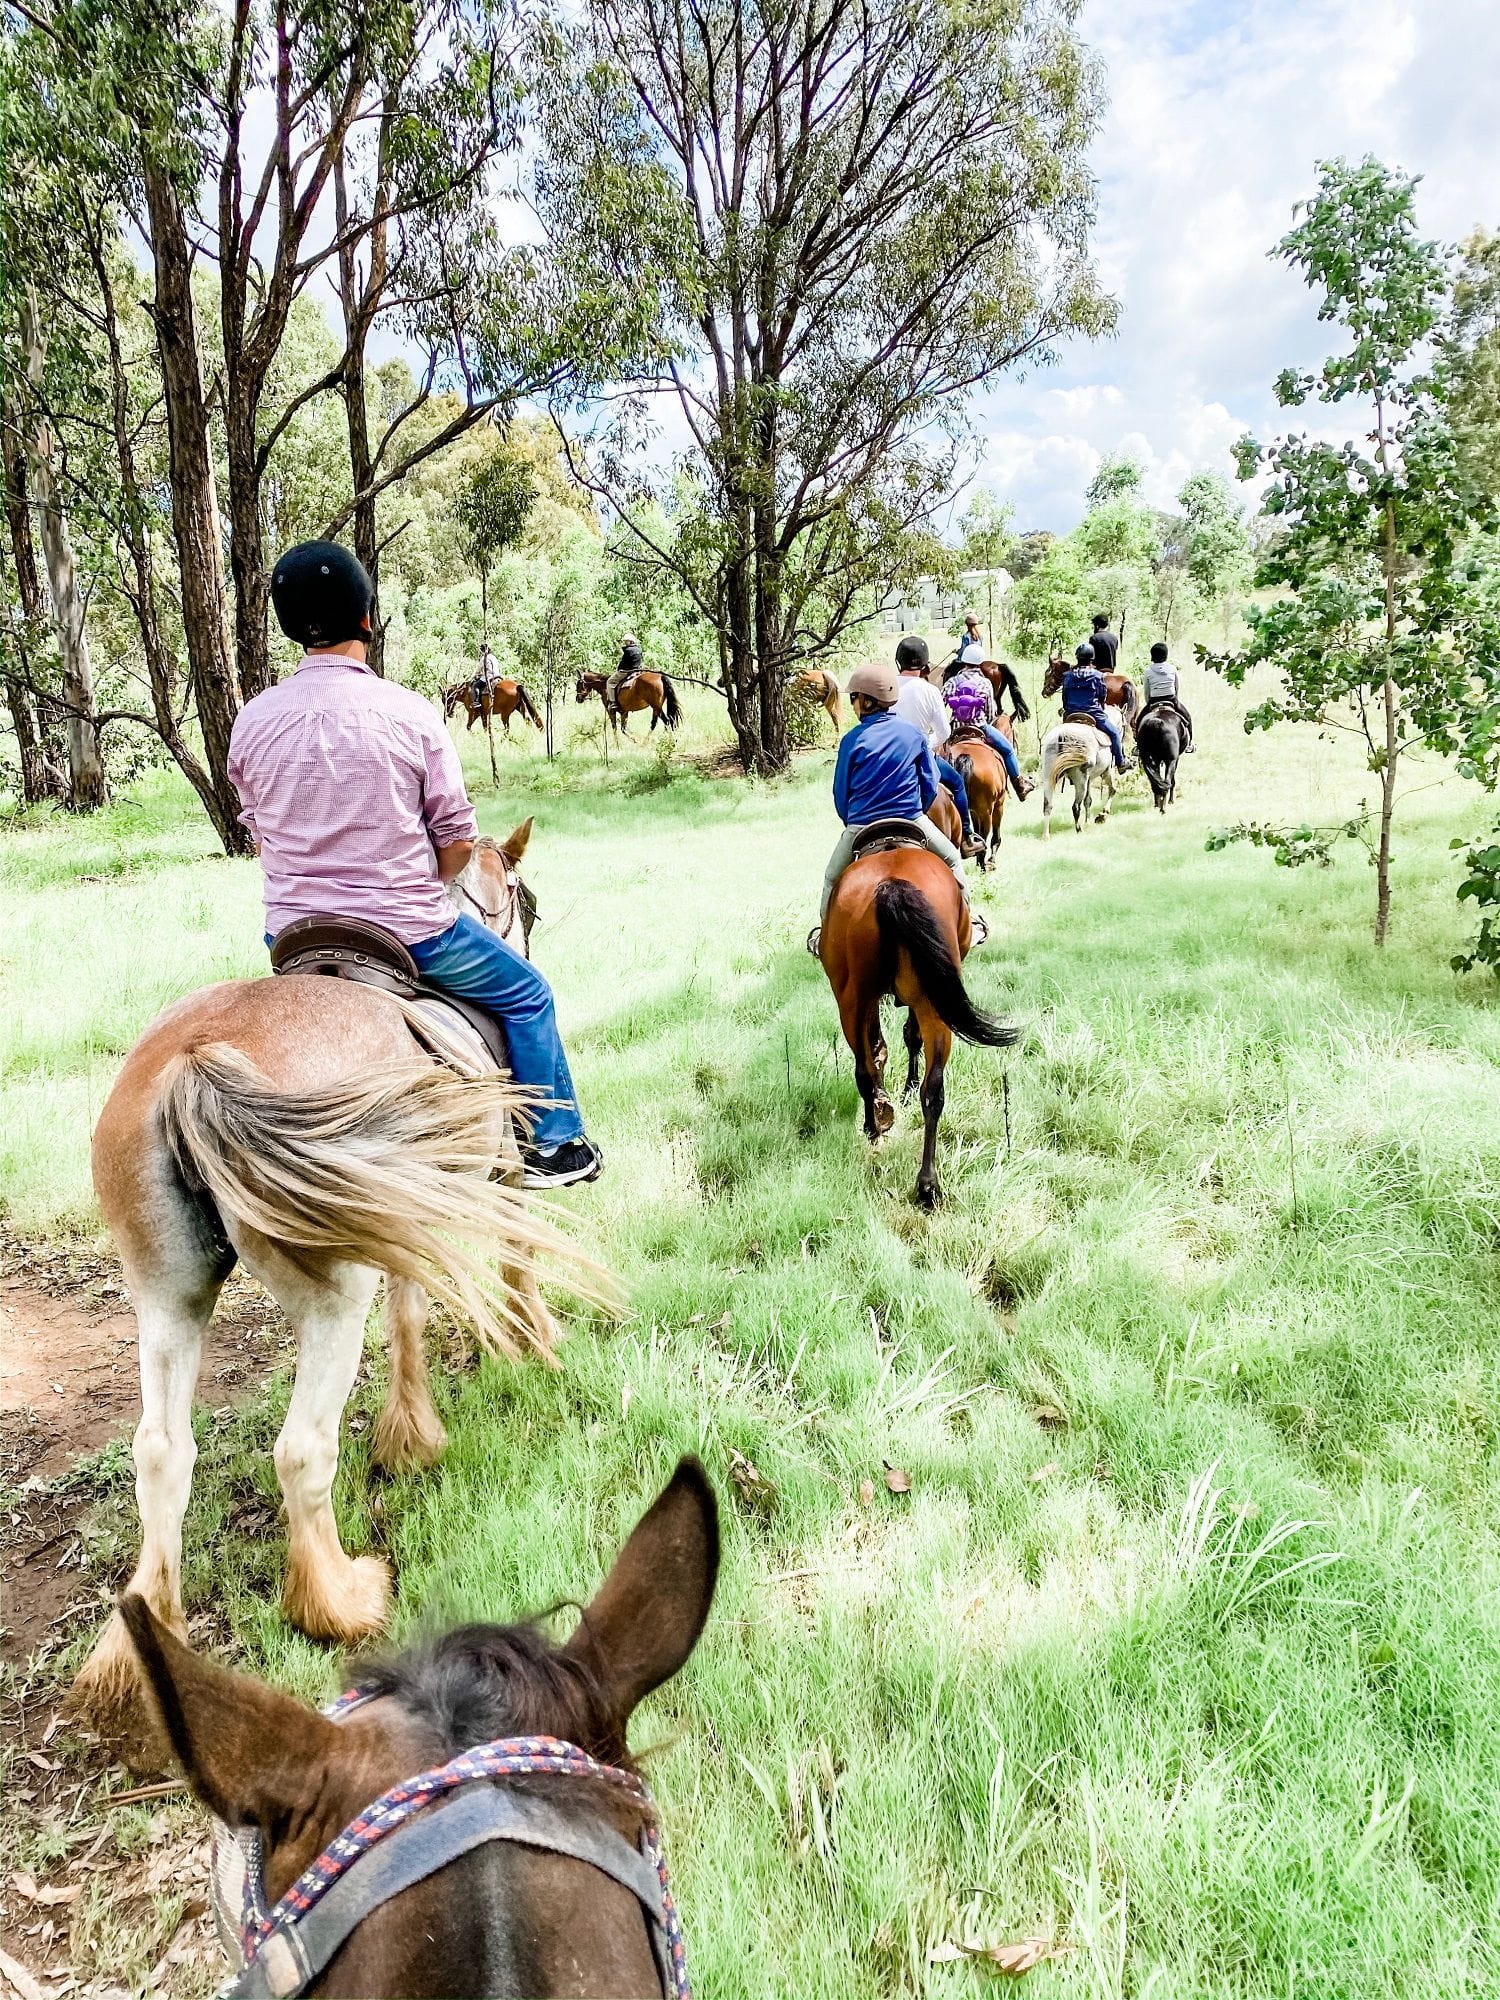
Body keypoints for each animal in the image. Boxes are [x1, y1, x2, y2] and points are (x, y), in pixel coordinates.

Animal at [72, 823, 594, 1739]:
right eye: (524, 901)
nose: (526, 930)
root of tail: (195, 1061)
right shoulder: (494, 1181)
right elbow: (512, 1262)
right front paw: (535, 1343)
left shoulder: (401, 1222)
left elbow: (410, 1318)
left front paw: (411, 1436)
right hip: (329, 1299)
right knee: (302, 1450)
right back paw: (341, 1599)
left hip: (167, 1295)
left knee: (162, 1453)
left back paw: (144, 1658)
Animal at [819, 846, 1018, 1206]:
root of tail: (891, 885)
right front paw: (902, 1090)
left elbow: (885, 1046)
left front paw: (896, 1094)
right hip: (927, 1003)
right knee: (933, 1089)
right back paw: (927, 1185)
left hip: (854, 1000)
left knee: (866, 1070)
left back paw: (877, 1129)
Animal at [948, 733, 1007, 869]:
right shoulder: (999, 804)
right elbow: (995, 835)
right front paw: (991, 860)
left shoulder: (973, 811)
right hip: (987, 811)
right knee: (984, 837)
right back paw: (983, 866)